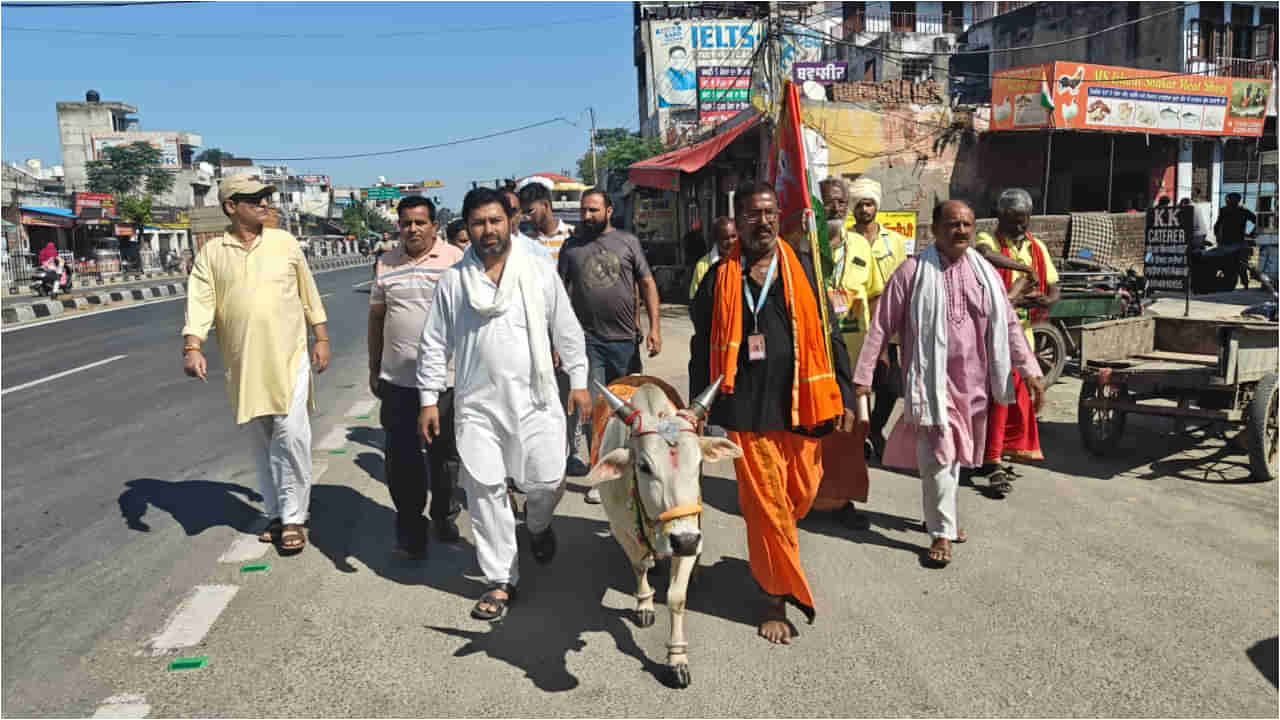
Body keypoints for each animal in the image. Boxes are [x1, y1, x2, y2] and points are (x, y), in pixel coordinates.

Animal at [583, 376, 742, 681]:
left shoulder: (689, 528)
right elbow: (639, 566)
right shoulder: (622, 531)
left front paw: (677, 659)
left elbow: (676, 598)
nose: (686, 542)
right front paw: (644, 604)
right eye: (644, 466)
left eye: (699, 462)